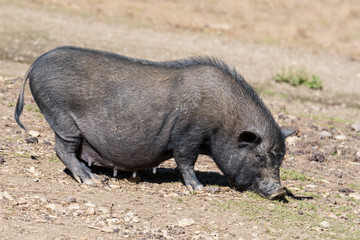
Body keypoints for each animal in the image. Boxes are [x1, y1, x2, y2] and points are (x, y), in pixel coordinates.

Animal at [14, 46, 296, 200]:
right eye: (259, 157)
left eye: (280, 159)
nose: (280, 191)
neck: (226, 121)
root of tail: (35, 62)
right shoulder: (188, 135)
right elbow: (186, 162)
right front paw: (202, 188)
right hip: (62, 117)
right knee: (62, 149)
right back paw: (90, 179)